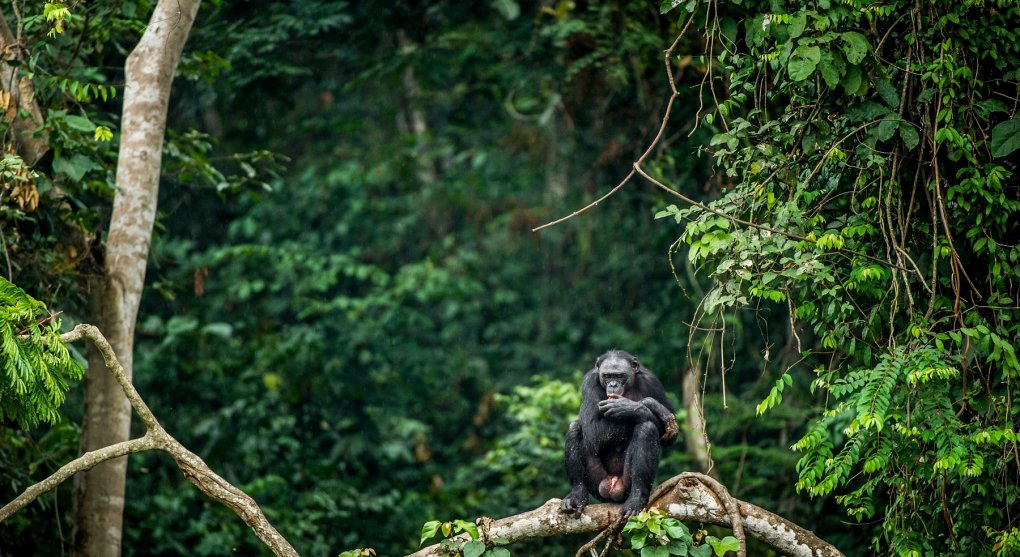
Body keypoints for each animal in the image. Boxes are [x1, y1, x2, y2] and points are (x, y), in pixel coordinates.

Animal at [558, 348, 677, 518]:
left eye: (619, 375)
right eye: (607, 376)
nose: (613, 385)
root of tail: (613, 485)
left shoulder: (652, 381)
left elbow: (669, 434)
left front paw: (632, 407)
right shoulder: (589, 382)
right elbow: (592, 429)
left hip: (626, 484)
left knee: (647, 428)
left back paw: (636, 499)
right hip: (597, 483)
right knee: (575, 427)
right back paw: (577, 495)